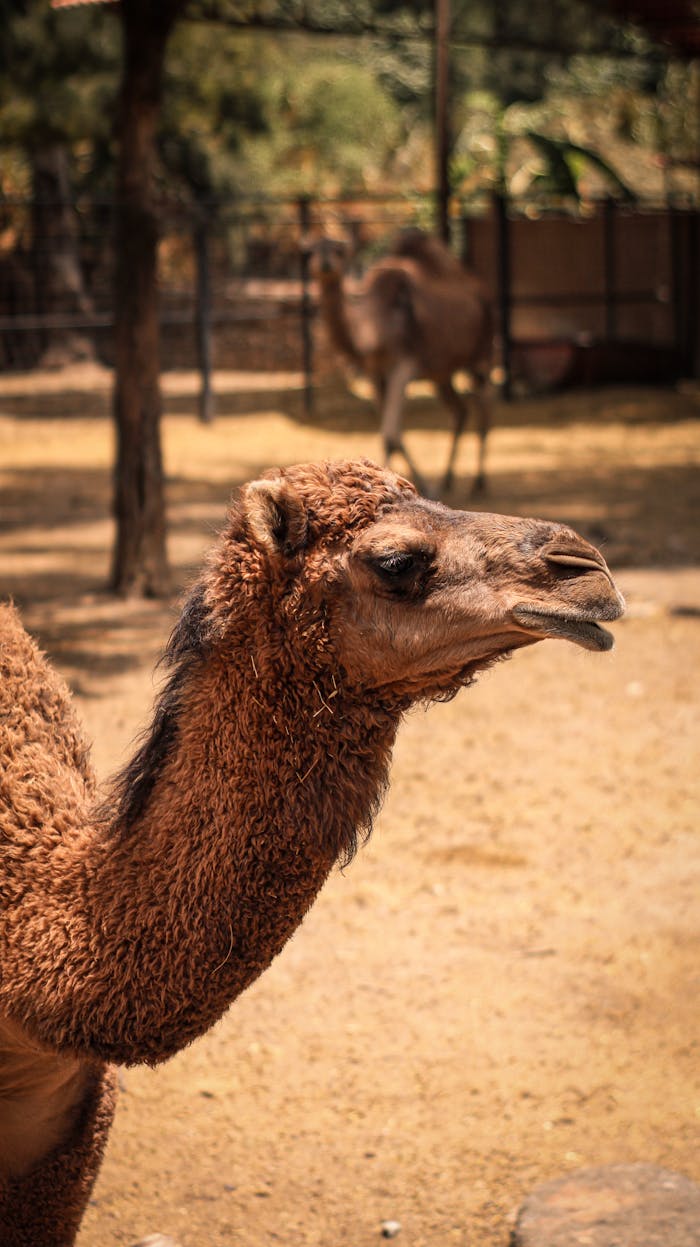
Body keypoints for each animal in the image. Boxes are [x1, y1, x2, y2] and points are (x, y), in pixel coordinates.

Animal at [309, 229, 494, 496]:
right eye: (310, 251)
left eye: (339, 251)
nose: (325, 263)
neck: (375, 324)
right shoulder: (375, 373)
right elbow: (394, 436)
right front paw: (424, 486)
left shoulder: (403, 366)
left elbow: (391, 436)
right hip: (442, 373)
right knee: (460, 411)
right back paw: (446, 480)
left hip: (481, 354)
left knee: (484, 408)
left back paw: (479, 482)